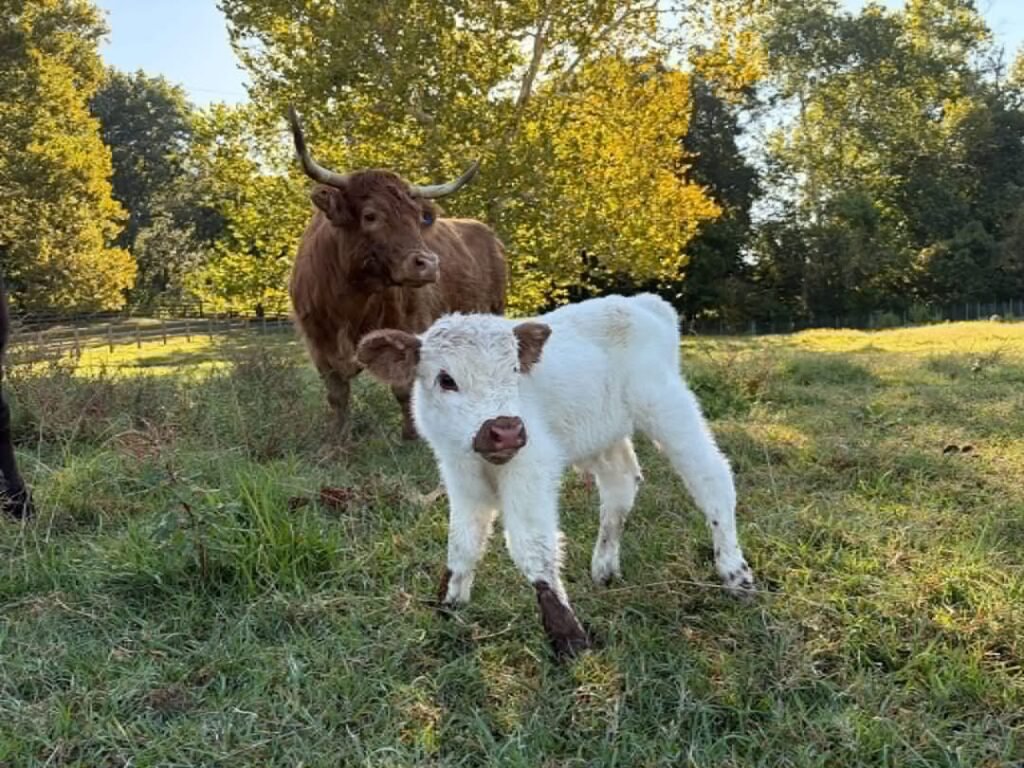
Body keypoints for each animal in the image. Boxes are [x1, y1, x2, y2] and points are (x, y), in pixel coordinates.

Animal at [286, 107, 506, 441]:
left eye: (418, 218)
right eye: (370, 216)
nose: (428, 263)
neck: (349, 300)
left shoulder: (408, 329)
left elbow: (403, 390)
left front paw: (412, 434)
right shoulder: (318, 344)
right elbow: (337, 394)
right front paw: (337, 441)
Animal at [356, 293, 755, 657]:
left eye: (514, 371)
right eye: (445, 379)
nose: (506, 430)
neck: (484, 461)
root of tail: (644, 302)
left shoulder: (532, 465)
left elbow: (531, 545)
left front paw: (568, 636)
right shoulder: (458, 473)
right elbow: (463, 540)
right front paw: (450, 604)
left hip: (667, 405)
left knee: (711, 476)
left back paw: (735, 574)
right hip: (602, 433)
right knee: (621, 483)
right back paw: (605, 569)